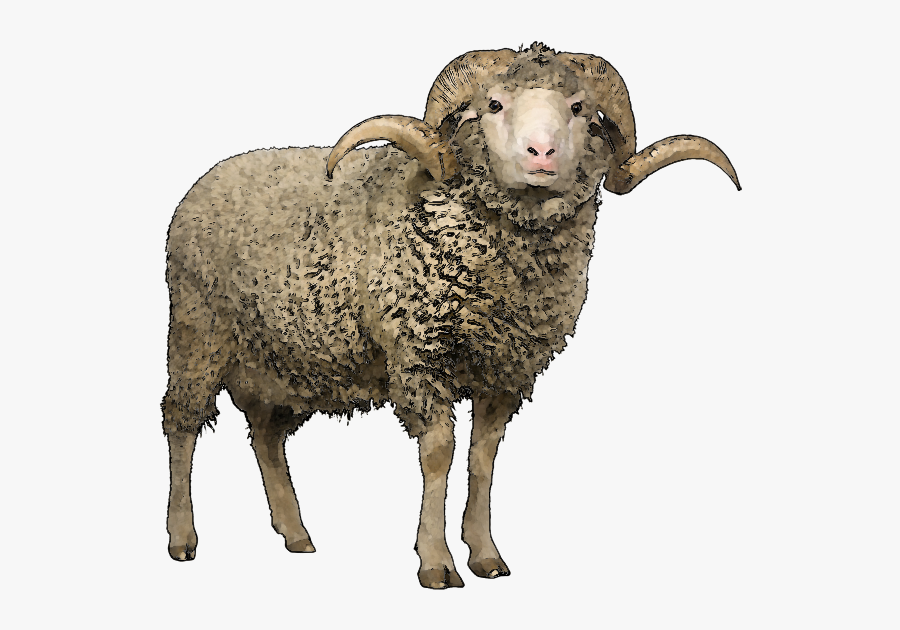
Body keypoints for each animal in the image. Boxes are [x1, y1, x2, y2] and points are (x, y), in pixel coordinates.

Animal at [162, 42, 740, 589]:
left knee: (265, 434)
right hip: (197, 334)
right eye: (494, 104)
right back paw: (182, 536)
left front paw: (484, 554)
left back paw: (296, 533)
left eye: (579, 108)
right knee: (181, 424)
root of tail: (207, 180)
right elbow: (440, 453)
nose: (542, 152)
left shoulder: (506, 371)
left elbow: (483, 460)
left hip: (285, 361)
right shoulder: (418, 354)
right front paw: (436, 563)